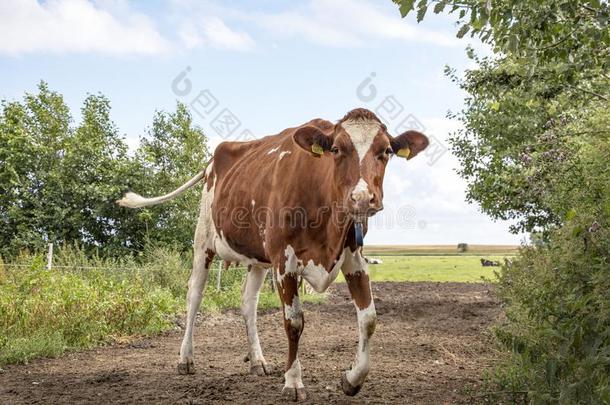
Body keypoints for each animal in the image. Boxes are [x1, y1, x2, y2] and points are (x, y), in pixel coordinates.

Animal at [115, 108, 428, 400]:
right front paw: (293, 382)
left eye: (386, 151)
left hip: (258, 258)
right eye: (337, 149)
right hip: (203, 240)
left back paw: (257, 360)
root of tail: (213, 160)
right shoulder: (283, 262)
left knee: (248, 302)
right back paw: (186, 359)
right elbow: (294, 322)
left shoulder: (354, 258)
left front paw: (352, 379)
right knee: (194, 296)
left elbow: (369, 319)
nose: (362, 199)